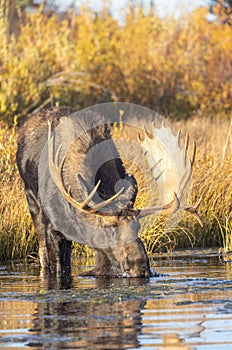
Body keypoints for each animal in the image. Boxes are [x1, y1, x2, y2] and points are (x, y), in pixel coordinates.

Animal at [16, 102, 201, 278]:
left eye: (138, 226)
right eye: (110, 227)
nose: (140, 267)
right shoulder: (52, 228)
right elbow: (56, 268)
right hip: (31, 200)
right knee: (43, 252)